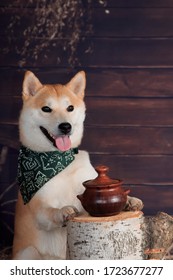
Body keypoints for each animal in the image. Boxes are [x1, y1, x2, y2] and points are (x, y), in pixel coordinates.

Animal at [12, 71, 143, 260]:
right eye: (46, 109)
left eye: (70, 108)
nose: (65, 126)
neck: (59, 162)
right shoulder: (39, 209)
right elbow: (50, 211)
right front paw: (63, 211)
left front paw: (130, 200)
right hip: (29, 252)